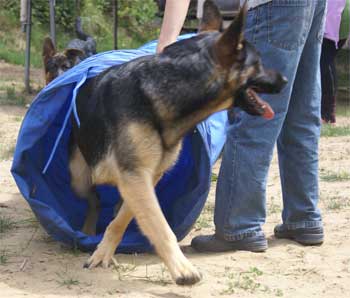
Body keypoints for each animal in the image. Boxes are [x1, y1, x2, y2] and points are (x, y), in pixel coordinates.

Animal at [69, 0, 288, 286]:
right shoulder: (135, 176)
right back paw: (85, 229)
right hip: (79, 177)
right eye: (259, 62)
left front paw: (105, 249)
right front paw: (183, 269)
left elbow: (125, 218)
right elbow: (159, 226)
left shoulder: (147, 176)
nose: (285, 80)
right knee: (93, 200)